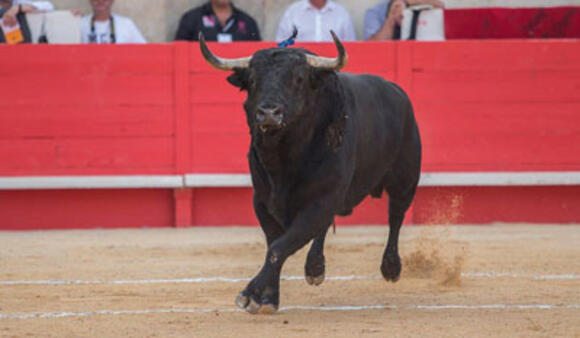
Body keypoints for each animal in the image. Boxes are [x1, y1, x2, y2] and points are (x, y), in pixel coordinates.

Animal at [199, 31, 422, 314]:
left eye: (299, 79)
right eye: (252, 80)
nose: (268, 113)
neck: (284, 157)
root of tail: (397, 93)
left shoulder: (322, 199)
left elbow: (278, 247)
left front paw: (252, 295)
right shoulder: (263, 200)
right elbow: (275, 244)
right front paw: (269, 297)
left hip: (405, 180)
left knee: (396, 217)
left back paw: (391, 267)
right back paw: (315, 267)